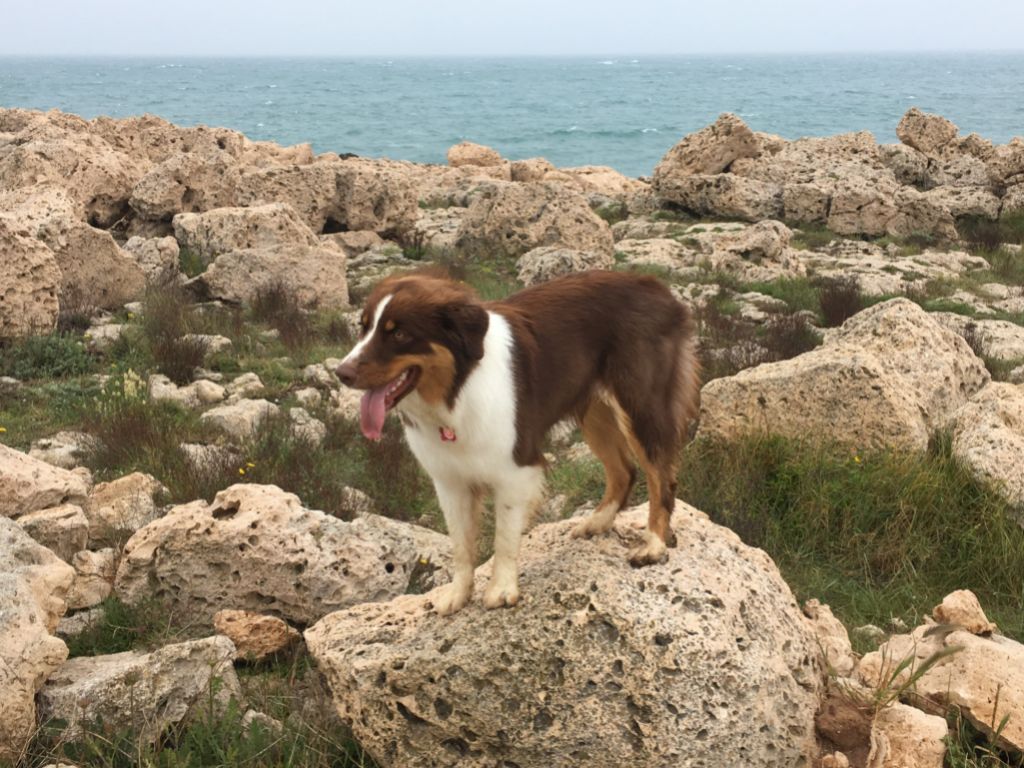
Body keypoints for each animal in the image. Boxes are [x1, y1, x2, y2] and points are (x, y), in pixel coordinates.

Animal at [335, 269, 700, 615]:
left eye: (398, 333)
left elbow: (504, 537)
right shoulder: (449, 480)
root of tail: (658, 287)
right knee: (624, 470)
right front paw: (458, 594)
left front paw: (501, 589)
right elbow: (461, 545)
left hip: (640, 404)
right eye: (363, 328)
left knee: (661, 476)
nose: (342, 373)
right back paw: (597, 522)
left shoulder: (515, 469)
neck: (458, 390)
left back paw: (653, 544)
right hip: (593, 410)